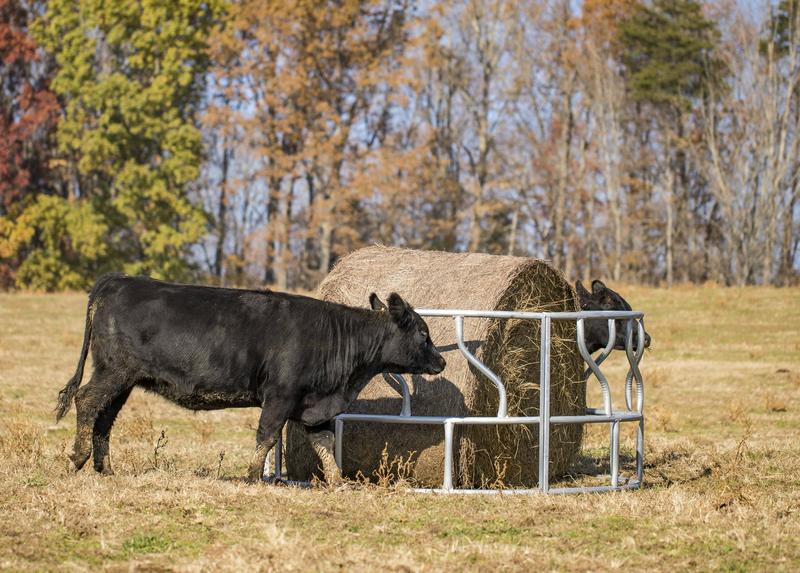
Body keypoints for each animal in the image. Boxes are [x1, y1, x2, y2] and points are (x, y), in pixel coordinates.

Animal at [55, 274, 445, 482]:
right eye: (423, 333)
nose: (442, 360)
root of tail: (118, 281)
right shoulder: (281, 395)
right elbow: (267, 437)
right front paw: (253, 476)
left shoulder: (313, 406)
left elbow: (324, 443)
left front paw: (339, 483)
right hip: (114, 371)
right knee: (86, 401)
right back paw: (78, 458)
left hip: (122, 381)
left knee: (104, 417)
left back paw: (105, 469)